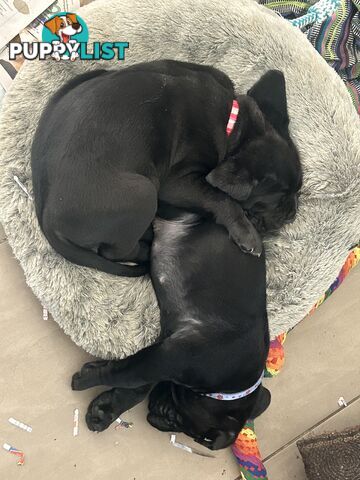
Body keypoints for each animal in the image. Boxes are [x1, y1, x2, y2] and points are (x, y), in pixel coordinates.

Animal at [32, 60, 300, 278]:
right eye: (278, 199)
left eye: (298, 189)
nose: (293, 212)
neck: (233, 126)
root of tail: (48, 220)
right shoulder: (176, 183)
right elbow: (221, 198)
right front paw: (246, 232)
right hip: (144, 192)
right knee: (115, 251)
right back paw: (147, 245)